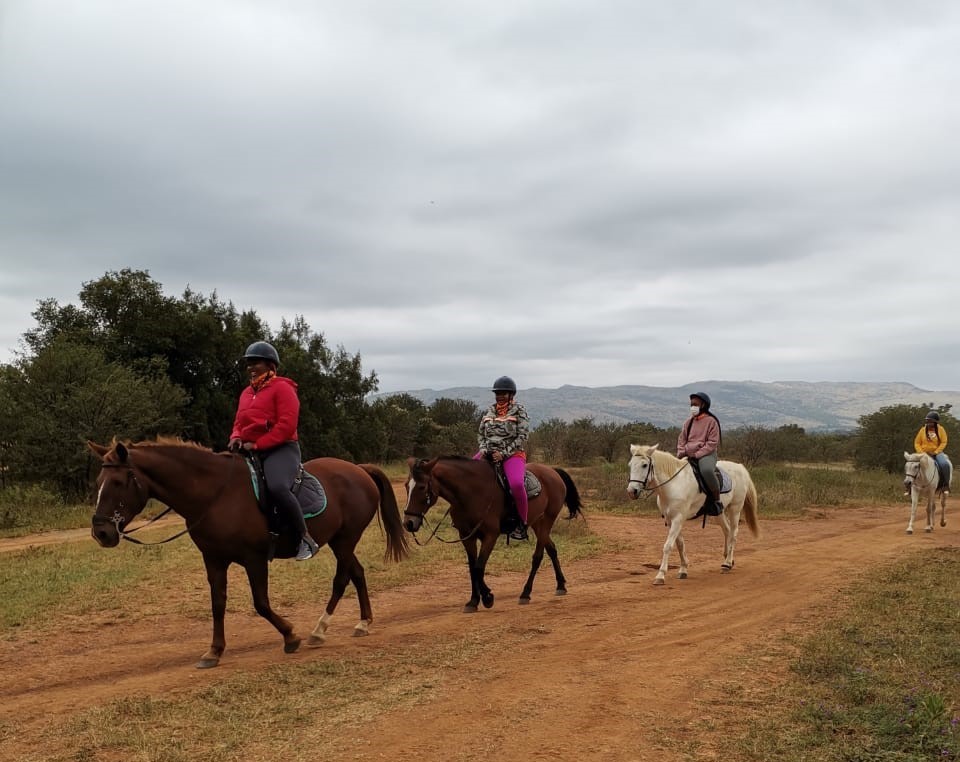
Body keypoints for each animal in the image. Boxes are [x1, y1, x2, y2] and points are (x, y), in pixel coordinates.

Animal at [88, 438, 408, 668]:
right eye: (98, 484)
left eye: (117, 482)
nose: (101, 532)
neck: (214, 494)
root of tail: (359, 469)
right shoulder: (214, 560)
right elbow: (218, 604)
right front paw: (214, 651)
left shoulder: (254, 559)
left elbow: (261, 603)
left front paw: (290, 636)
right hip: (338, 541)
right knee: (357, 573)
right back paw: (361, 622)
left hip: (344, 540)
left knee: (342, 578)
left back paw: (321, 629)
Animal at [401, 456, 583, 612]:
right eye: (406, 486)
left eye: (421, 487)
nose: (408, 523)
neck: (471, 493)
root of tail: (552, 471)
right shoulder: (467, 536)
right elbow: (472, 568)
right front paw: (473, 601)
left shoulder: (490, 535)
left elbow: (479, 567)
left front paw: (488, 597)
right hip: (537, 523)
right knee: (551, 548)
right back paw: (561, 585)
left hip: (547, 521)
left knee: (538, 556)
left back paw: (525, 593)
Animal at [625, 444, 760, 585]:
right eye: (630, 465)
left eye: (644, 465)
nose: (631, 491)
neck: (673, 484)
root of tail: (740, 467)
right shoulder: (670, 520)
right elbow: (680, 544)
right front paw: (683, 569)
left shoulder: (678, 518)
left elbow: (668, 546)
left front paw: (660, 575)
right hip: (718, 512)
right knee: (727, 530)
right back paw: (727, 559)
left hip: (735, 509)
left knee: (733, 533)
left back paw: (727, 563)